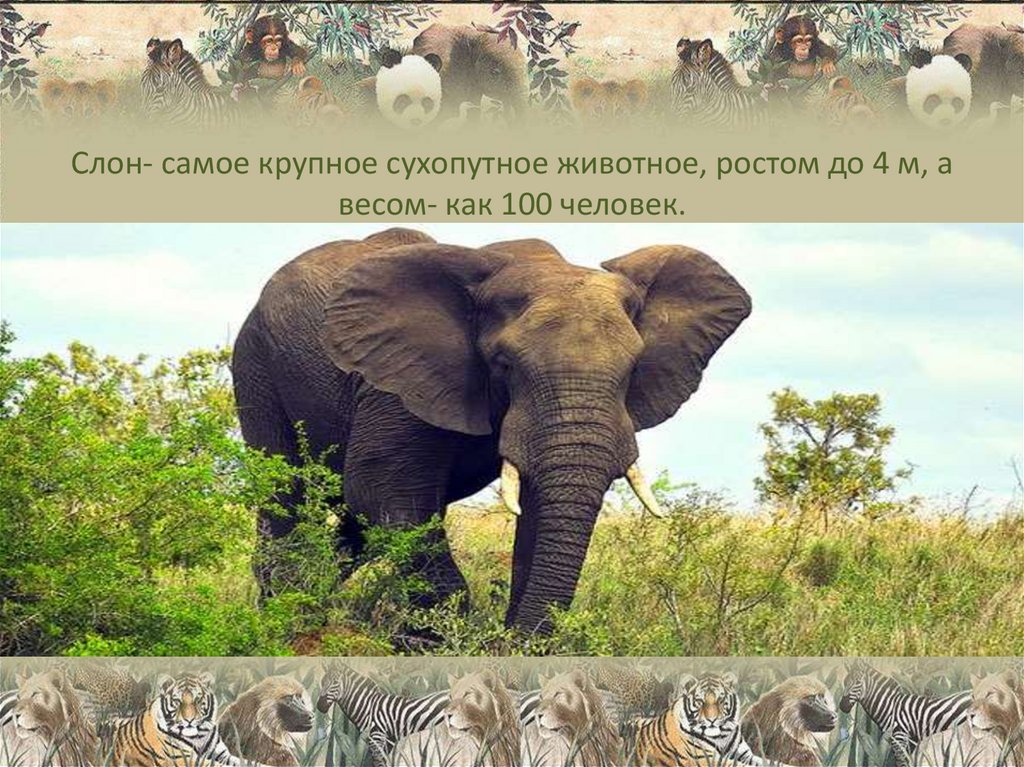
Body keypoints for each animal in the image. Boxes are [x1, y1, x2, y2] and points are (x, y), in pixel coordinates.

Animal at [231, 228, 751, 634]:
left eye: (633, 367)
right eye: (504, 365)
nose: (513, 641)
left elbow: (539, 510)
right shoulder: (395, 384)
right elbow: (382, 490)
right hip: (255, 363)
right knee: (288, 494)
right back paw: (286, 620)